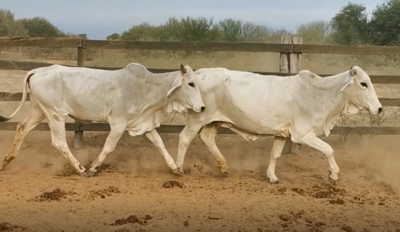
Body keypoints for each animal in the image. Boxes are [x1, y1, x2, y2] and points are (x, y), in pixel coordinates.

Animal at [0, 62, 205, 177]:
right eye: (191, 83)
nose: (202, 107)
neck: (147, 88)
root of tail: (37, 71)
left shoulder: (143, 124)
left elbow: (160, 144)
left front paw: (176, 169)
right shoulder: (118, 124)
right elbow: (108, 147)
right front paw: (93, 168)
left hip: (39, 111)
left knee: (22, 127)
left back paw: (7, 160)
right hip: (55, 114)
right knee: (58, 141)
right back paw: (81, 169)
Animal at [177, 66, 382, 184]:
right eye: (363, 84)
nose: (379, 108)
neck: (319, 94)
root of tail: (197, 74)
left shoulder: (282, 133)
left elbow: (275, 154)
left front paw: (272, 177)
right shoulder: (302, 134)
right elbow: (329, 149)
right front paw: (333, 175)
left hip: (215, 121)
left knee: (207, 138)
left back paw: (224, 168)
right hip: (198, 118)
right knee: (185, 138)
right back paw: (178, 169)